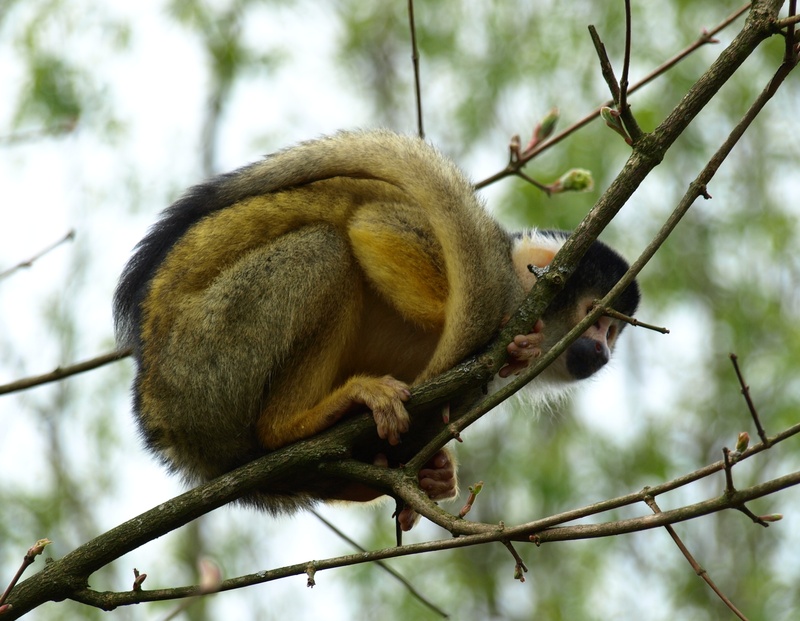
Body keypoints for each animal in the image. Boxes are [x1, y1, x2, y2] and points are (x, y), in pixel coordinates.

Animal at [113, 129, 640, 529]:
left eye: (614, 333)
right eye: (598, 318)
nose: (602, 352)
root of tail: (158, 412)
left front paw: (434, 475)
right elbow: (374, 226)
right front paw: (511, 340)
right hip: (206, 356)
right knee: (326, 248)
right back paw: (291, 425)